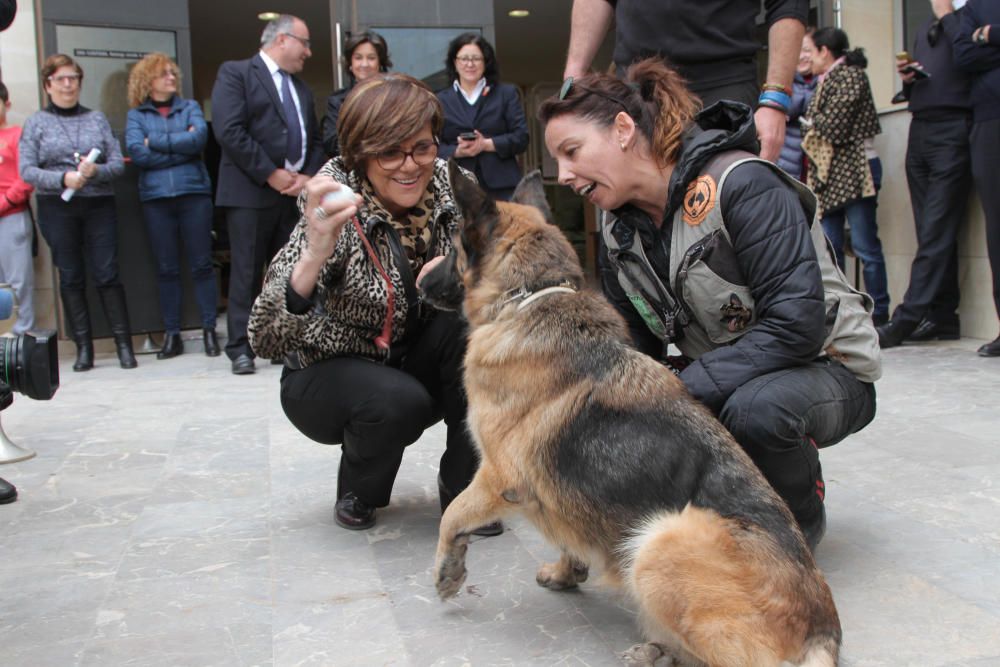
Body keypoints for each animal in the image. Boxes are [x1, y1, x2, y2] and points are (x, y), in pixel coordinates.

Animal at [418, 163, 840, 667]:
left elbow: (452, 515)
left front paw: (447, 569)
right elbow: (566, 531)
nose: (419, 284)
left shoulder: (497, 476)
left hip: (659, 541)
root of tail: (823, 631)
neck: (529, 295)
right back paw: (657, 649)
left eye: (450, 248)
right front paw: (567, 571)